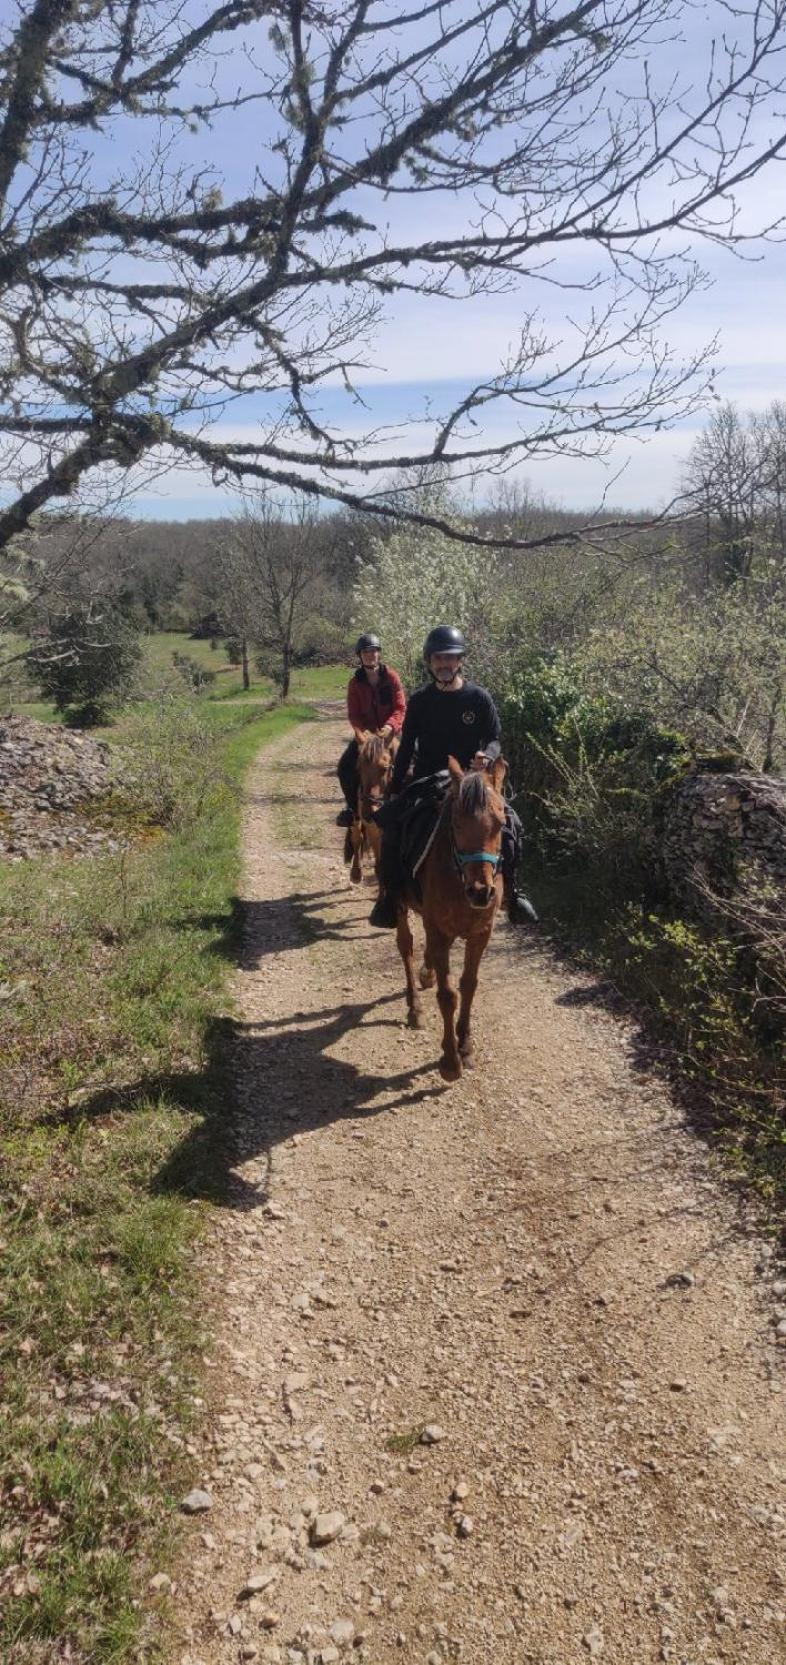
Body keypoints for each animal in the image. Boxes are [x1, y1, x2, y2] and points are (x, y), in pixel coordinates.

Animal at [343, 729, 396, 885]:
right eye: (358, 768)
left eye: (385, 768)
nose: (368, 812)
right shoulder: (374, 830)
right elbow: (380, 867)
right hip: (356, 816)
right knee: (357, 837)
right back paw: (356, 873)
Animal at [396, 752, 506, 1078]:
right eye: (456, 822)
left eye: (500, 823)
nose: (481, 892)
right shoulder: (440, 931)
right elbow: (447, 996)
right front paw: (449, 1060)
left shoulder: (481, 933)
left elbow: (468, 985)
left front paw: (465, 1045)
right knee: (406, 945)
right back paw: (415, 1007)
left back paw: (427, 973)